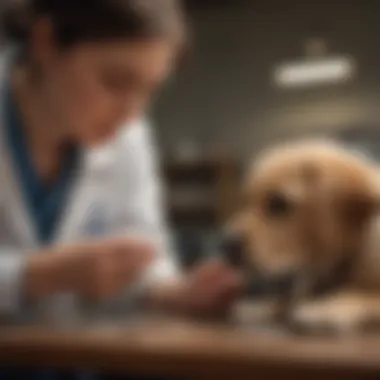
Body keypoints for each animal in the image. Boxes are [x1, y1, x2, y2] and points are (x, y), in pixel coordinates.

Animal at [226, 139, 380, 332]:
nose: (224, 245)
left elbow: (359, 294)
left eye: (278, 204)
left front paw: (325, 308)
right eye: (245, 201)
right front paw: (267, 305)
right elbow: (290, 298)